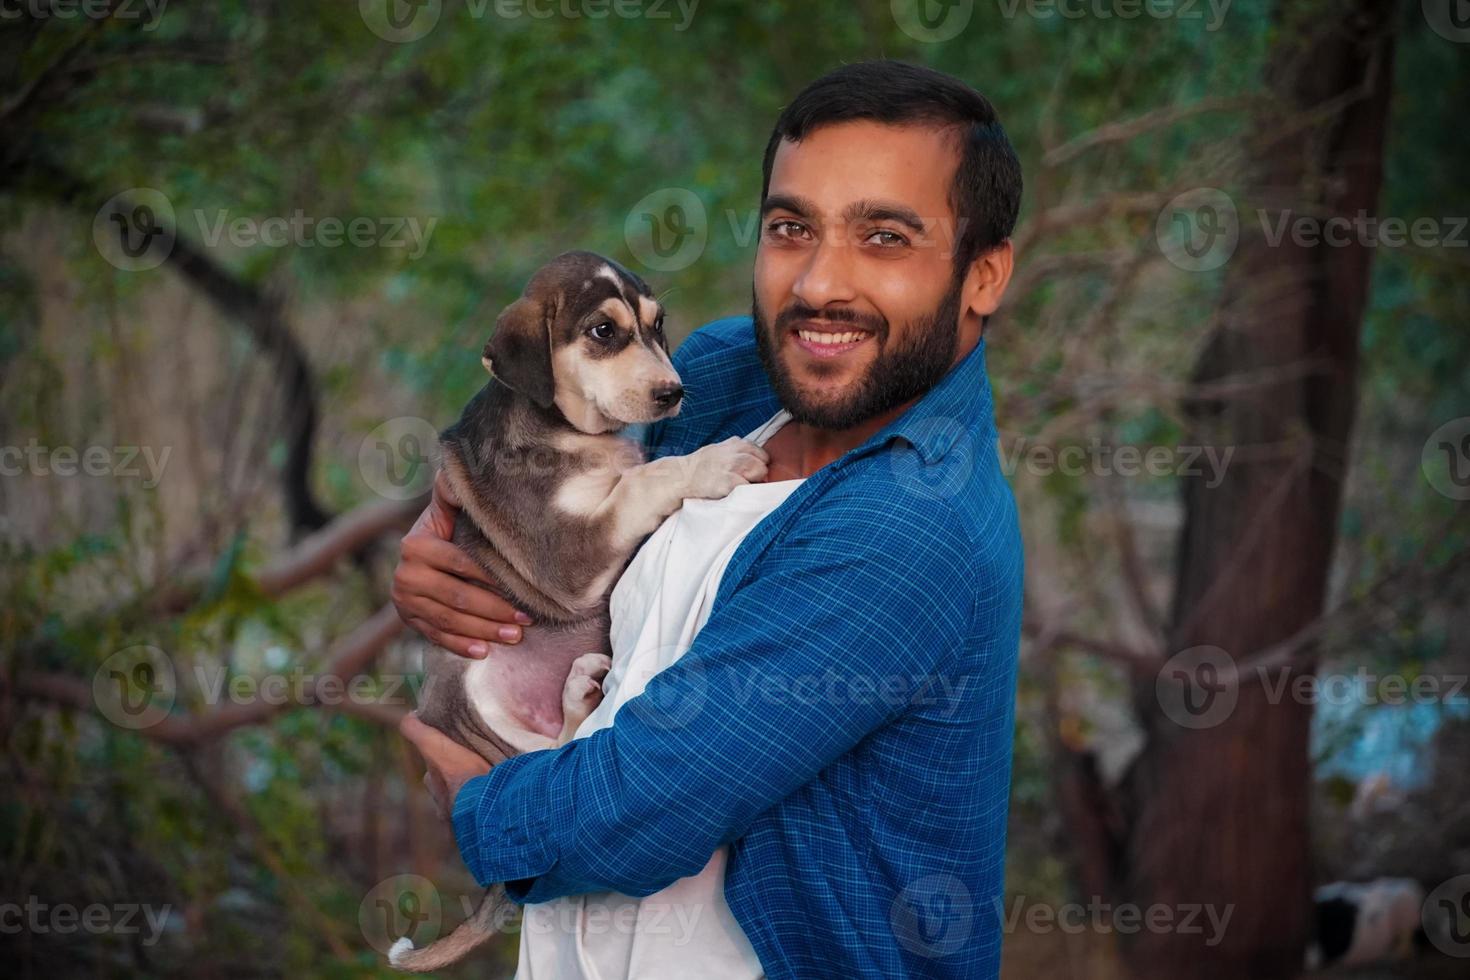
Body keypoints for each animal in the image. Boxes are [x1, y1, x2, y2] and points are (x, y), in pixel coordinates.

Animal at [391, 249, 770, 969]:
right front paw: (717, 459)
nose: (672, 393)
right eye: (602, 332)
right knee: (552, 762)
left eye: (657, 326)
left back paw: (580, 687)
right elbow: (644, 481)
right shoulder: (566, 553)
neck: (570, 431)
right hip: (485, 701)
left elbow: (639, 470)